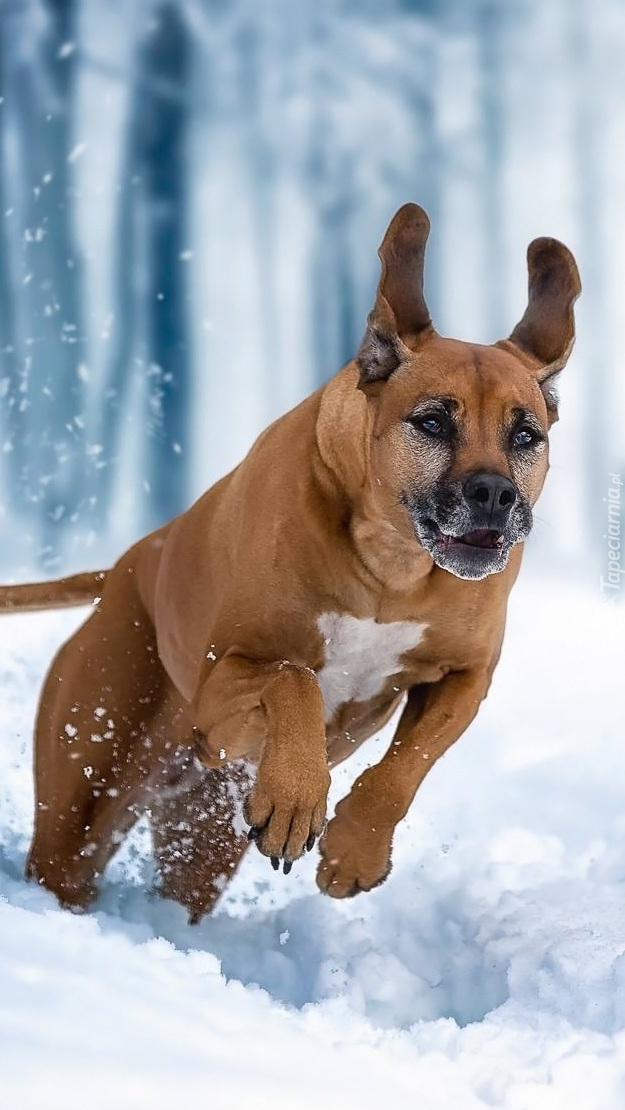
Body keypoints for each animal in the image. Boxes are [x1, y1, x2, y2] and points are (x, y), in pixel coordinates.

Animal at [4, 206, 581, 919]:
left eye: (525, 435)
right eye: (433, 423)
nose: (495, 495)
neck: (390, 566)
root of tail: (125, 568)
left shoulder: (465, 674)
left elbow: (413, 759)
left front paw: (356, 848)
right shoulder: (221, 687)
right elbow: (293, 676)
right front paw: (299, 793)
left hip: (202, 819)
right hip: (93, 771)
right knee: (66, 855)